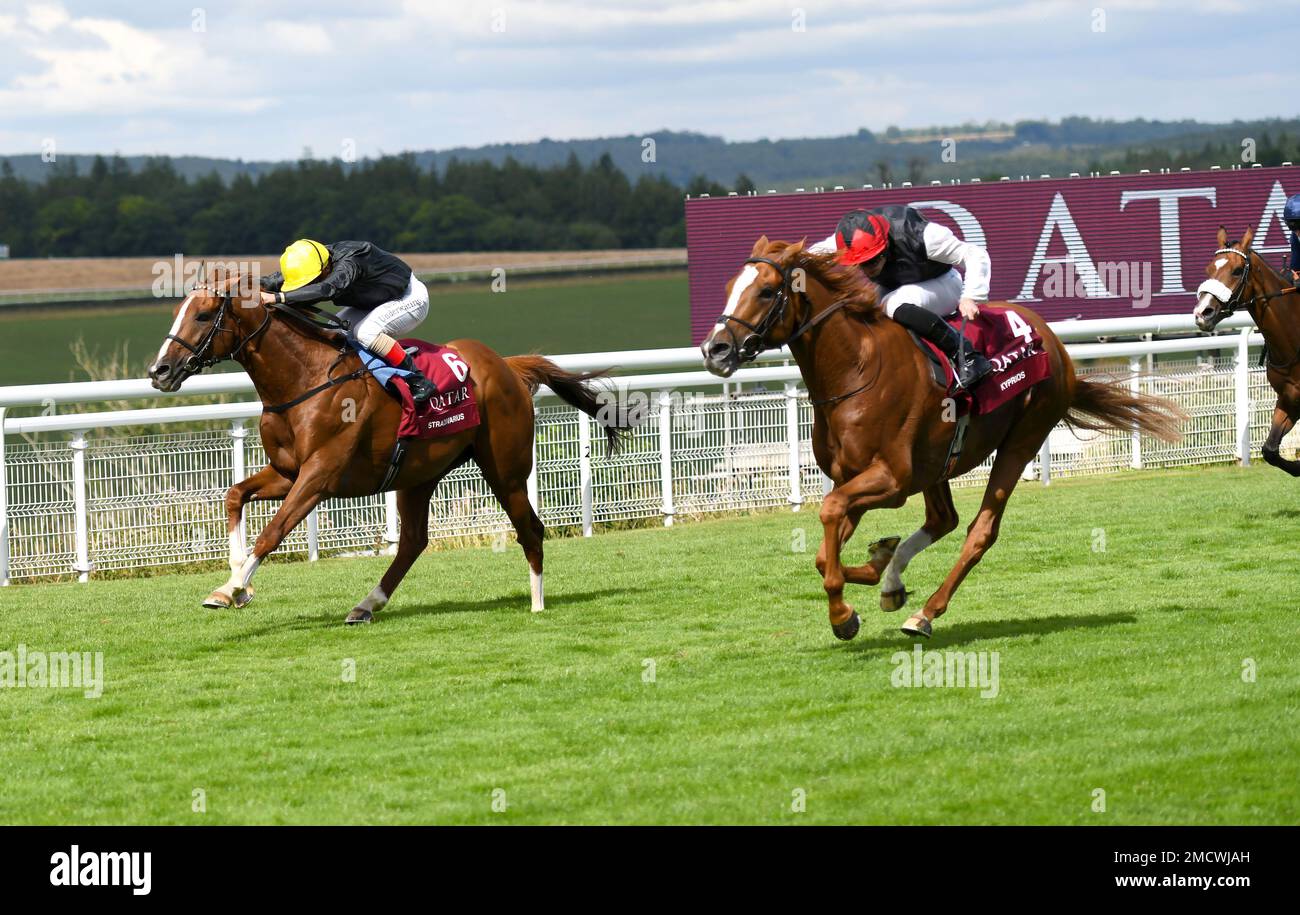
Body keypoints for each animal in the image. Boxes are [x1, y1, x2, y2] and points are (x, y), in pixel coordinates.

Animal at [147, 271, 629, 621]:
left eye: (204, 315)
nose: (159, 370)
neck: (305, 379)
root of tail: (508, 366)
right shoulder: (288, 472)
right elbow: (234, 495)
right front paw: (237, 582)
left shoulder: (319, 475)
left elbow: (274, 531)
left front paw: (230, 589)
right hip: (419, 474)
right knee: (414, 541)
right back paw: (367, 604)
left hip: (506, 471)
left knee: (530, 529)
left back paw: (537, 602)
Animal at [707, 239, 1185, 639]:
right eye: (729, 286)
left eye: (767, 291)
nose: (715, 350)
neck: (855, 370)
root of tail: (1052, 340)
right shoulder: (853, 477)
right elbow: (827, 551)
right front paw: (877, 569)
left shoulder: (892, 480)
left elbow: (829, 516)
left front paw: (843, 615)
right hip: (938, 464)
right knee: (943, 520)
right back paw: (893, 580)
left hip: (1023, 438)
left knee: (980, 531)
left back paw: (925, 613)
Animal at [1196, 226, 1300, 475]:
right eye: (1209, 269)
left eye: (1236, 271)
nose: (1202, 312)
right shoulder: (1289, 399)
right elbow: (1269, 450)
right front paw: (1297, 467)